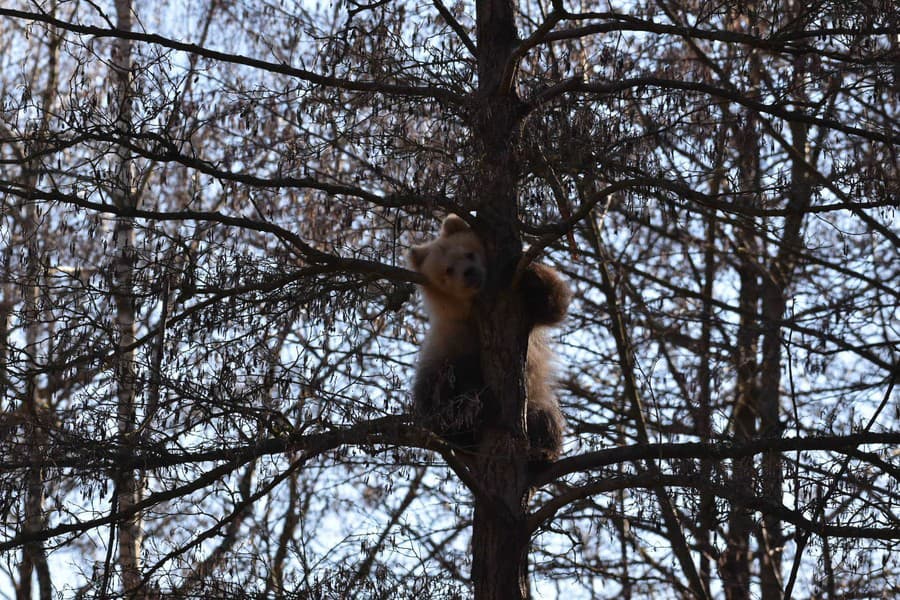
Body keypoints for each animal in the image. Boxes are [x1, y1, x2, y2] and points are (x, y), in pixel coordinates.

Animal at [408, 213, 568, 462]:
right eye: (448, 270)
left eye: (469, 253)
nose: (470, 272)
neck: (472, 309)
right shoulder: (455, 338)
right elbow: (458, 382)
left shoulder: (526, 316)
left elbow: (553, 305)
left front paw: (530, 273)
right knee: (438, 403)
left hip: (535, 395)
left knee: (545, 415)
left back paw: (543, 451)